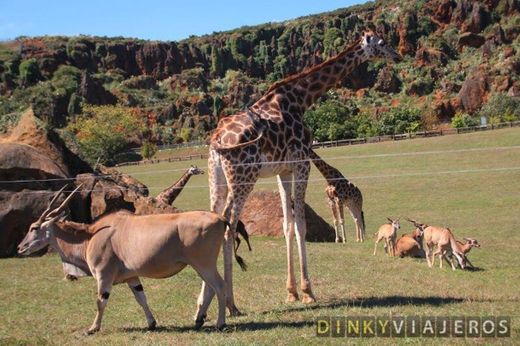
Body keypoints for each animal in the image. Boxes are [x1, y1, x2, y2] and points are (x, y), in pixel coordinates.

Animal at [18, 185, 250, 334]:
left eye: (34, 228)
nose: (21, 248)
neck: (90, 236)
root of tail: (220, 218)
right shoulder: (132, 278)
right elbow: (141, 298)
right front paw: (152, 323)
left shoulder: (103, 276)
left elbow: (100, 301)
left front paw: (93, 328)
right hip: (200, 265)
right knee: (210, 287)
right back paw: (199, 320)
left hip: (203, 263)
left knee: (219, 286)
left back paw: (219, 323)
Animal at [197, 31, 400, 318]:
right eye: (381, 43)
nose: (398, 55)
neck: (302, 99)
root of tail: (216, 141)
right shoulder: (302, 162)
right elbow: (301, 225)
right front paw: (307, 292)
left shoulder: (283, 170)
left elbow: (287, 224)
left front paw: (291, 292)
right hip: (244, 176)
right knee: (228, 226)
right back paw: (231, 304)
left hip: (217, 179)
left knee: (214, 219)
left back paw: (202, 305)